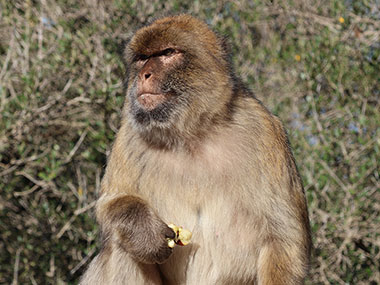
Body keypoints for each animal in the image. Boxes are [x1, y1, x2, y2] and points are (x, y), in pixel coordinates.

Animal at [80, 14, 312, 282]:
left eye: (168, 53)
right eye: (141, 58)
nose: (144, 75)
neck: (192, 134)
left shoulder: (264, 131)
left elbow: (283, 238)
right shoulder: (129, 135)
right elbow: (110, 203)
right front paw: (144, 231)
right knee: (122, 248)